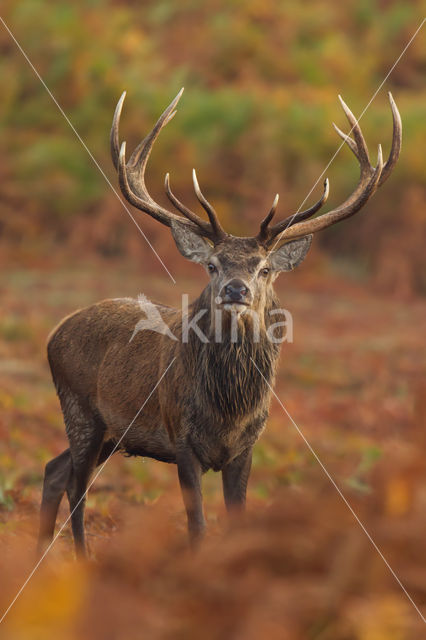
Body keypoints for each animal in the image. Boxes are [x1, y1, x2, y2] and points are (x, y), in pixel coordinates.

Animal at [37, 87, 400, 556]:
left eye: (265, 268)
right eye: (211, 265)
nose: (235, 289)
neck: (227, 412)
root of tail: (55, 333)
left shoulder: (247, 448)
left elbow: (238, 522)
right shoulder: (181, 438)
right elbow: (198, 527)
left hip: (111, 434)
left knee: (53, 469)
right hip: (80, 410)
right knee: (76, 488)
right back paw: (80, 558)